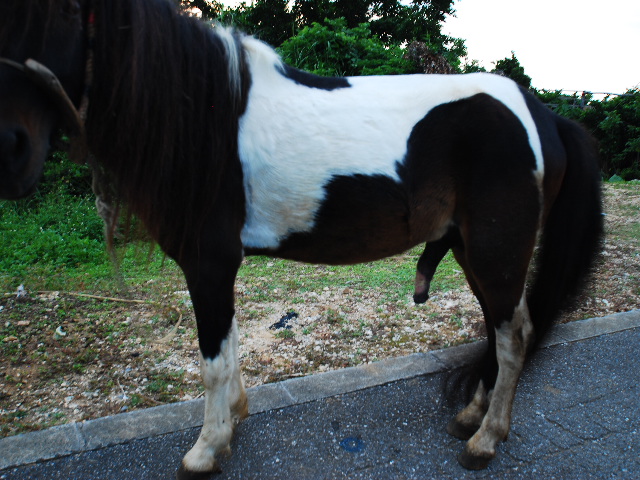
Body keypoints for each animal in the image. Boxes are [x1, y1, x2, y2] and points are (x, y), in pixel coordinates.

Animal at [0, 0, 600, 476]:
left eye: (67, 11)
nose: (13, 146)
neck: (205, 115)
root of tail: (544, 115)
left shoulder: (208, 262)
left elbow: (213, 360)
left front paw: (206, 450)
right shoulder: (217, 268)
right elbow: (229, 347)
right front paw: (232, 422)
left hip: (498, 253)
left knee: (513, 336)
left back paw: (485, 441)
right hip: (473, 252)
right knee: (500, 331)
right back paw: (471, 417)